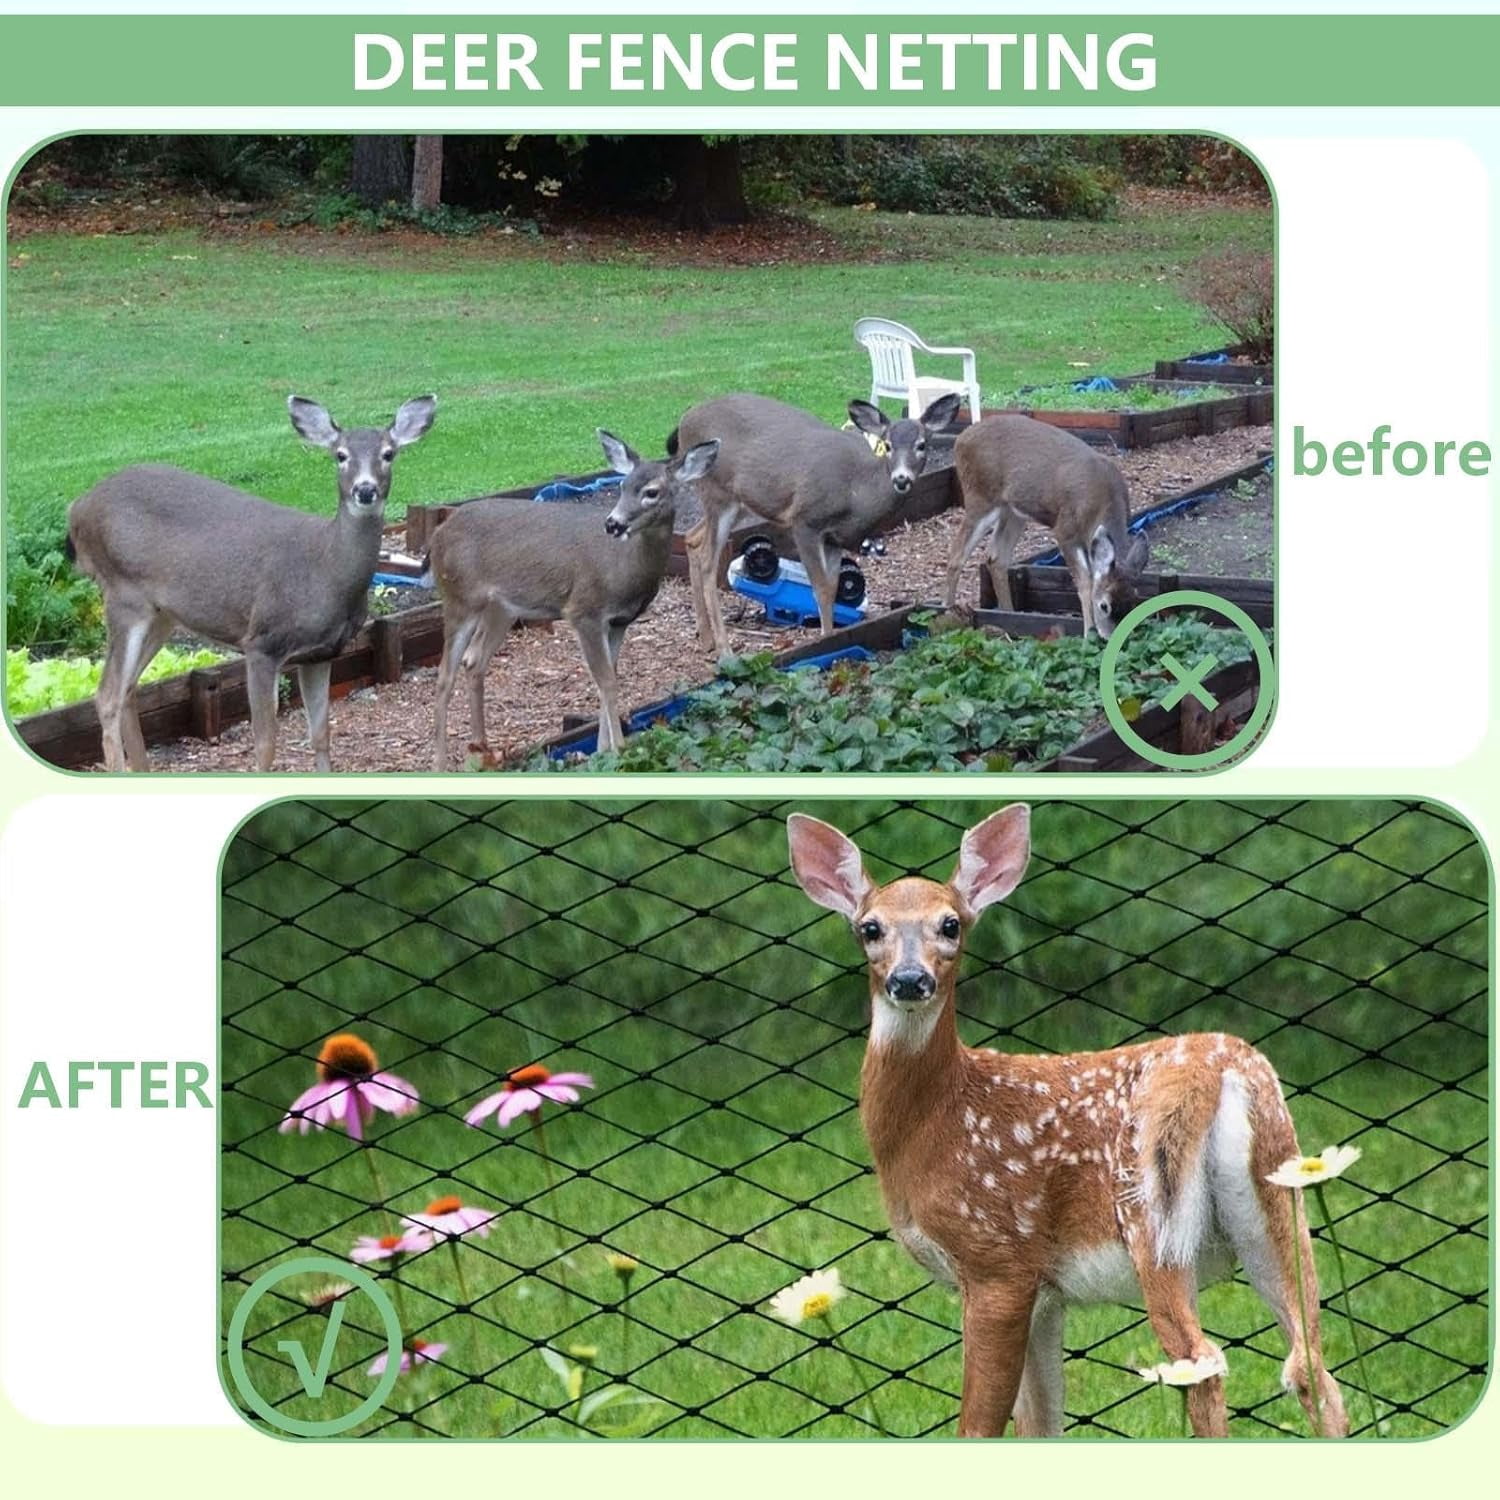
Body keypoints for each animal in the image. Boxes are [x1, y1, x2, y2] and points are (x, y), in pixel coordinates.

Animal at [66, 394, 436, 773]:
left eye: (389, 453)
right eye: (340, 455)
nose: (365, 490)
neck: (325, 571)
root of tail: (77, 508)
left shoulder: (321, 653)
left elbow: (321, 735)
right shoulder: (262, 642)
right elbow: (265, 743)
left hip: (162, 613)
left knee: (128, 690)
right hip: (123, 592)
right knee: (107, 695)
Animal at [425, 429, 720, 770]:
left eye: (651, 492)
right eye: (622, 486)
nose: (613, 523)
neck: (624, 568)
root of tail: (438, 534)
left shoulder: (619, 622)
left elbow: (609, 677)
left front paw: (603, 750)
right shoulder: (584, 611)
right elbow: (606, 681)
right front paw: (620, 751)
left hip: (502, 607)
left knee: (474, 661)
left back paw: (482, 750)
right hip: (460, 597)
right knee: (444, 676)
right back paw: (440, 764)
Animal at [670, 391, 961, 658]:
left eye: (921, 444)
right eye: (887, 445)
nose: (902, 479)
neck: (856, 490)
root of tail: (685, 419)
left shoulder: (834, 538)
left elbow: (832, 590)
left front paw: (832, 637)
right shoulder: (805, 521)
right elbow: (819, 589)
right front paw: (824, 642)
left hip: (735, 502)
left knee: (692, 539)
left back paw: (706, 639)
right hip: (717, 491)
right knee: (708, 563)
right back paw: (725, 650)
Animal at [787, 804, 1349, 1440]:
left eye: (951, 924)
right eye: (869, 928)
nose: (909, 980)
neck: (934, 1122)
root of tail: (1216, 1068)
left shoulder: (998, 1261)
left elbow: (979, 1426)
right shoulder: (1047, 1294)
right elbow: (1040, 1424)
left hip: (1150, 1215)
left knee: (1203, 1363)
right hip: (1278, 1196)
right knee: (1311, 1366)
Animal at [942, 415, 1149, 639]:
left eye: (1134, 604)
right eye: (1104, 605)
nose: (1112, 638)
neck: (1103, 502)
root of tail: (960, 440)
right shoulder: (1065, 530)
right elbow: (1086, 581)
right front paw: (1088, 632)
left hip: (1013, 510)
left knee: (995, 557)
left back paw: (1009, 615)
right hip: (981, 496)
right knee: (957, 555)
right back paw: (947, 611)